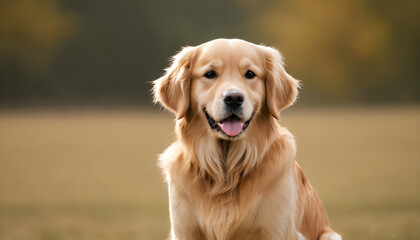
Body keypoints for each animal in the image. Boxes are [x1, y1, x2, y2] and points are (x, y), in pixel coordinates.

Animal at [152, 38, 342, 239]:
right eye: (210, 74)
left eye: (250, 74)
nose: (234, 98)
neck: (227, 172)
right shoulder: (185, 230)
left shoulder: (276, 229)